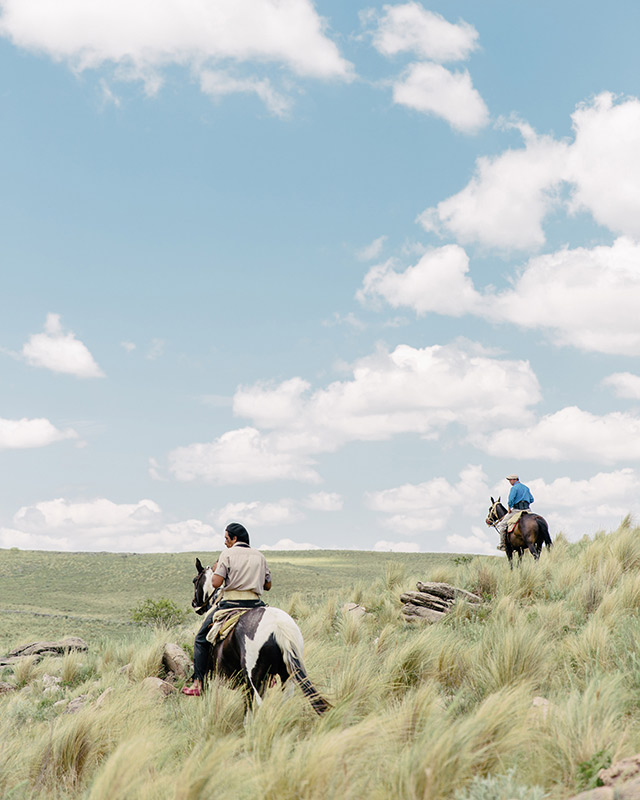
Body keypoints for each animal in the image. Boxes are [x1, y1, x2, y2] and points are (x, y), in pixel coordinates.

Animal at [190, 560, 330, 716]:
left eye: (195, 580)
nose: (194, 603)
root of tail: (278, 626)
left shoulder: (216, 678)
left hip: (255, 679)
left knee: (259, 707)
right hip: (286, 677)